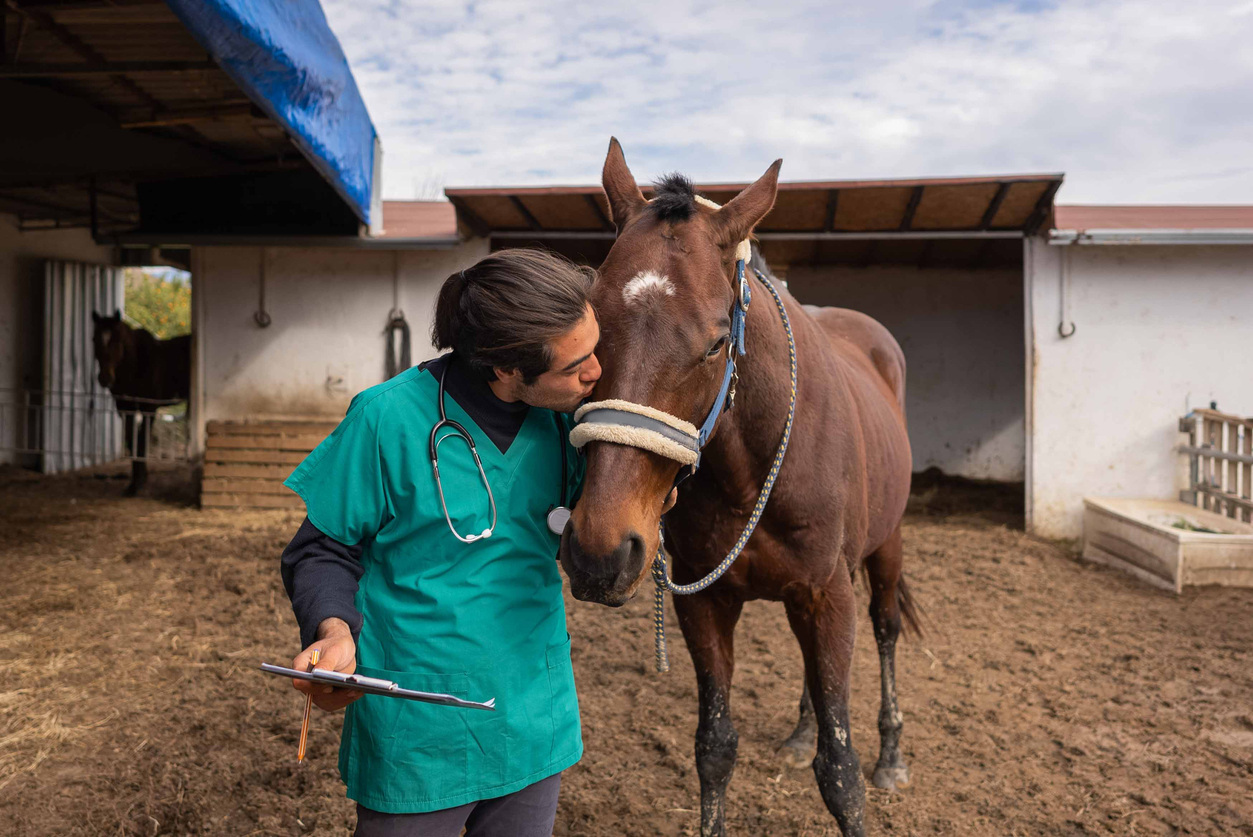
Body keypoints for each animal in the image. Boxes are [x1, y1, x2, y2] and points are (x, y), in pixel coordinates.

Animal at [90, 310, 191, 495]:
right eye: (94, 339)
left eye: (117, 341)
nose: (105, 379)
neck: (136, 366)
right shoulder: (124, 408)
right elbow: (132, 442)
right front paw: (134, 484)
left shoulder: (148, 408)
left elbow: (142, 442)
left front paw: (139, 484)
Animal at [558, 139, 920, 837]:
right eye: (592, 333)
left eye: (715, 342)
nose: (599, 552)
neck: (750, 471)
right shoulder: (707, 600)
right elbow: (715, 748)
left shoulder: (828, 594)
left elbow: (842, 771)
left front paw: (859, 764)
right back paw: (802, 732)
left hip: (884, 545)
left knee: (887, 629)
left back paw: (892, 752)